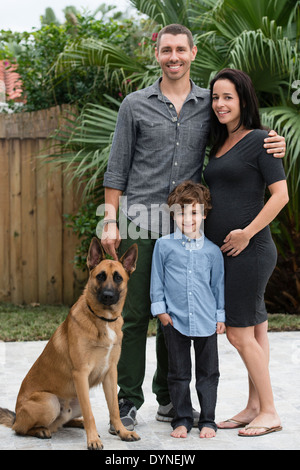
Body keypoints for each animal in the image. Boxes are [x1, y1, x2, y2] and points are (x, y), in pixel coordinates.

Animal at [0, 241, 139, 450]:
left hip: (74, 402)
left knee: (63, 422)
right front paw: (93, 440)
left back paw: (76, 423)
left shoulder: (110, 373)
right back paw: (40, 430)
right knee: (20, 429)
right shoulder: (80, 374)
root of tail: (17, 415)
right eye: (100, 276)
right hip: (50, 402)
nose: (107, 296)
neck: (102, 320)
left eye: (118, 278)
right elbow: (90, 413)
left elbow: (114, 408)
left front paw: (122, 432)